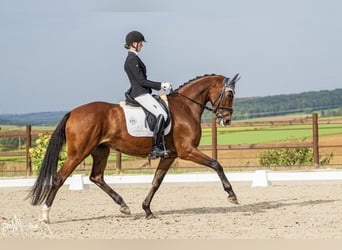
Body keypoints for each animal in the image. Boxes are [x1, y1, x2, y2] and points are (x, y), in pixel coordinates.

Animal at [28, 73, 240, 223]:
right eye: (230, 94)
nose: (226, 120)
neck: (186, 107)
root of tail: (73, 112)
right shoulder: (187, 151)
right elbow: (216, 164)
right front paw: (232, 195)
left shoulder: (169, 155)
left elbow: (156, 182)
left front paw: (147, 210)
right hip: (79, 152)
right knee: (59, 178)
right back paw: (45, 215)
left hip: (101, 150)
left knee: (96, 177)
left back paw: (124, 206)